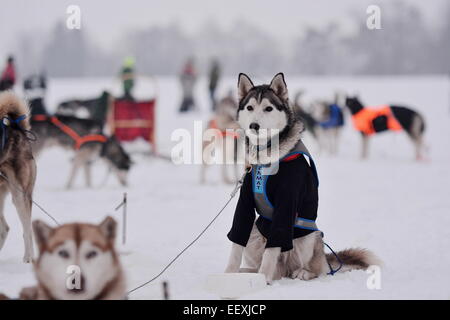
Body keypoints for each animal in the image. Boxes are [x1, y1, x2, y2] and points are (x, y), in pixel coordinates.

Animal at [225, 74, 380, 284]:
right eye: (249, 108)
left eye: (268, 108)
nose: (254, 126)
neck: (265, 159)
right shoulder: (245, 202)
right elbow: (236, 244)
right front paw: (228, 275)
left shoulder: (286, 203)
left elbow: (271, 250)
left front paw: (263, 278)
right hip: (255, 232)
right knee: (273, 268)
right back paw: (248, 272)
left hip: (309, 236)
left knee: (312, 269)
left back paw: (301, 272)